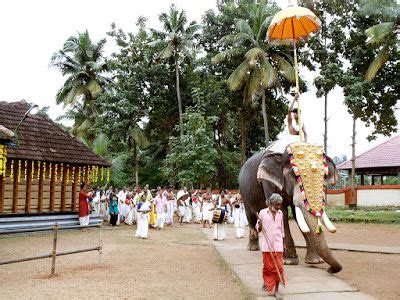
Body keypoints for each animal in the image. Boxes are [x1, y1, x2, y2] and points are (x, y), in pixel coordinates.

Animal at [239, 142, 342, 274]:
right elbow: (281, 211)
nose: (330, 270)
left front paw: (315, 261)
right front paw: (289, 261)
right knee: (250, 214)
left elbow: (297, 213)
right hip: (243, 192)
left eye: (324, 175)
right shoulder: (267, 181)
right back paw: (253, 248)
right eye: (294, 173)